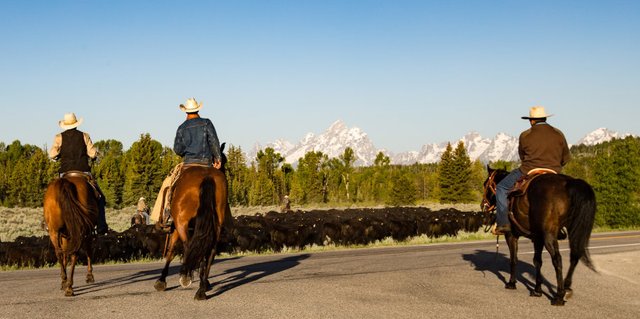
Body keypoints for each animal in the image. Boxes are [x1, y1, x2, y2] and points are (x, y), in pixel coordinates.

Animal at [153, 164, 228, 302]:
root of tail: (207, 176)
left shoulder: (176, 228)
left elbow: (171, 251)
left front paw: (162, 281)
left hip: (182, 223)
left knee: (189, 246)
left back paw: (189, 280)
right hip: (216, 224)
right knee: (210, 251)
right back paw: (202, 289)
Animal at [482, 166, 596, 306]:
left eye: (485, 184)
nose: (483, 204)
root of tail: (570, 183)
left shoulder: (511, 235)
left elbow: (513, 259)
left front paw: (511, 283)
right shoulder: (537, 239)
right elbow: (537, 261)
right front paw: (537, 290)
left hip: (549, 236)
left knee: (557, 259)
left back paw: (559, 296)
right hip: (573, 231)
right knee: (574, 256)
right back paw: (567, 287)